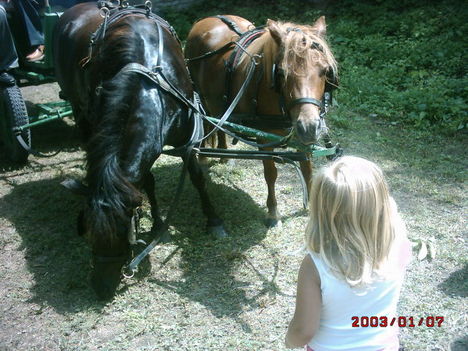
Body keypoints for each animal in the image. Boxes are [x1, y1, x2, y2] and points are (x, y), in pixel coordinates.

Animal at [53, 2, 227, 300]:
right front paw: (157, 221)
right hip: (79, 108)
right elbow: (147, 181)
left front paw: (213, 220)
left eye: (124, 234)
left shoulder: (188, 135)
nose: (101, 288)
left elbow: (196, 176)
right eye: (88, 234)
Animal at [185, 15, 338, 227]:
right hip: (199, 95)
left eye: (324, 71)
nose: (309, 127)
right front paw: (273, 212)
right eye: (282, 73)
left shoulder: (304, 138)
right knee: (207, 122)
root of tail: (207, 19)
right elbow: (271, 173)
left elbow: (307, 169)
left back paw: (223, 153)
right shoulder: (264, 139)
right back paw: (203, 156)